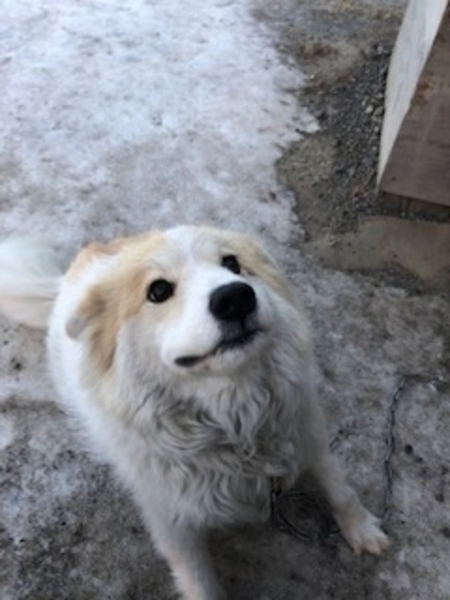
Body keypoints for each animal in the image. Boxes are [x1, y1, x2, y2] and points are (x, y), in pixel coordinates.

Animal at [0, 226, 389, 599]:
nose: (235, 298)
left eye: (232, 263)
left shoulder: (308, 434)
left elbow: (341, 490)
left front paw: (363, 531)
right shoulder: (173, 524)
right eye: (158, 290)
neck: (238, 429)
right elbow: (199, 582)